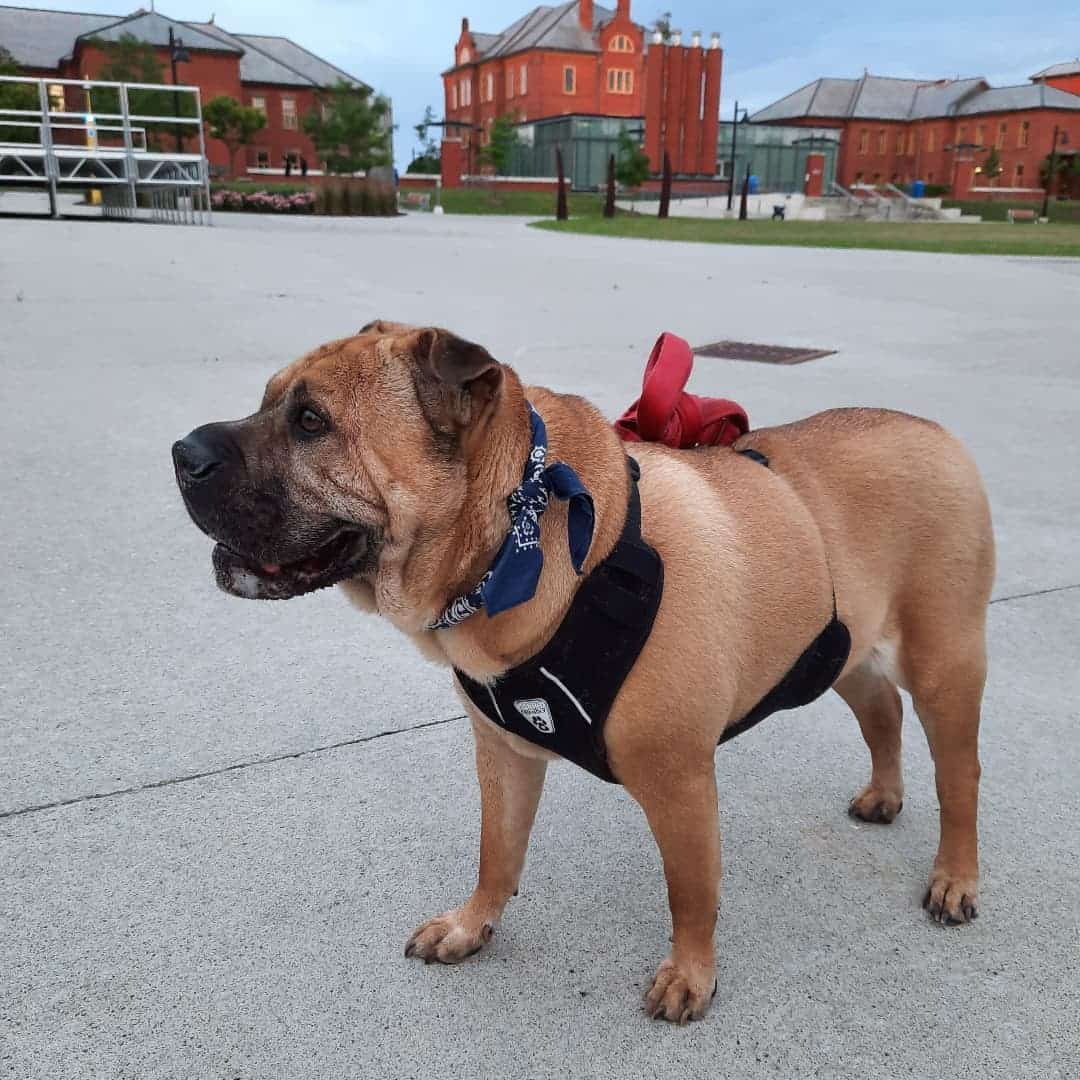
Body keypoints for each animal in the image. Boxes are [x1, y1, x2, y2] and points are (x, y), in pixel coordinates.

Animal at [172, 317, 989, 1019]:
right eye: (269, 400)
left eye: (312, 421)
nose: (181, 453)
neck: (518, 534)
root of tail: (938, 431)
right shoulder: (504, 752)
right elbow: (496, 853)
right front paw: (471, 926)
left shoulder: (678, 780)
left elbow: (691, 891)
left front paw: (691, 974)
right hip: (846, 653)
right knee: (880, 710)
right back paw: (884, 795)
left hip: (945, 665)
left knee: (959, 779)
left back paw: (954, 877)